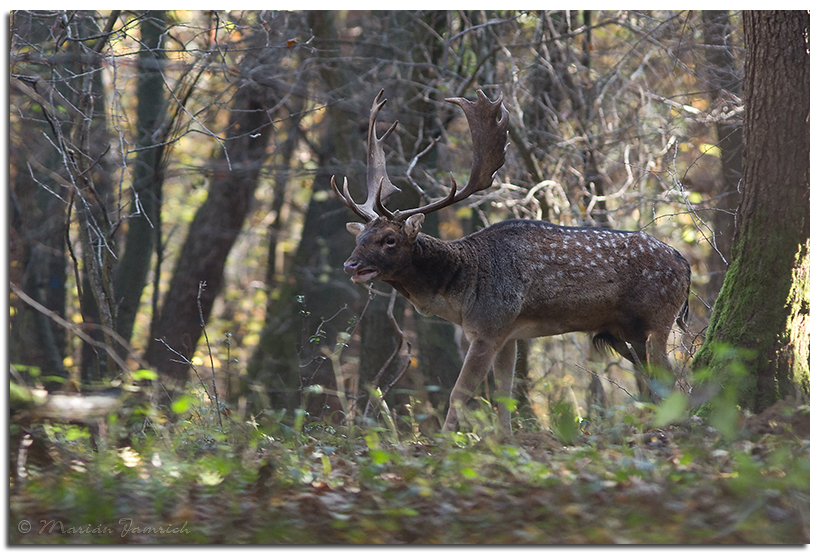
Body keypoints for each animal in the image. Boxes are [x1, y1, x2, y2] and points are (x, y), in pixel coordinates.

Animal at [330, 89, 688, 432]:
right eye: (360, 238)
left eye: (389, 240)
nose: (350, 265)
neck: (461, 292)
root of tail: (686, 267)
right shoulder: (508, 333)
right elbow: (505, 392)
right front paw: (505, 438)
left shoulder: (489, 326)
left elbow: (459, 393)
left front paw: (445, 441)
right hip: (624, 332)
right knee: (659, 380)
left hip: (658, 319)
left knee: (674, 379)